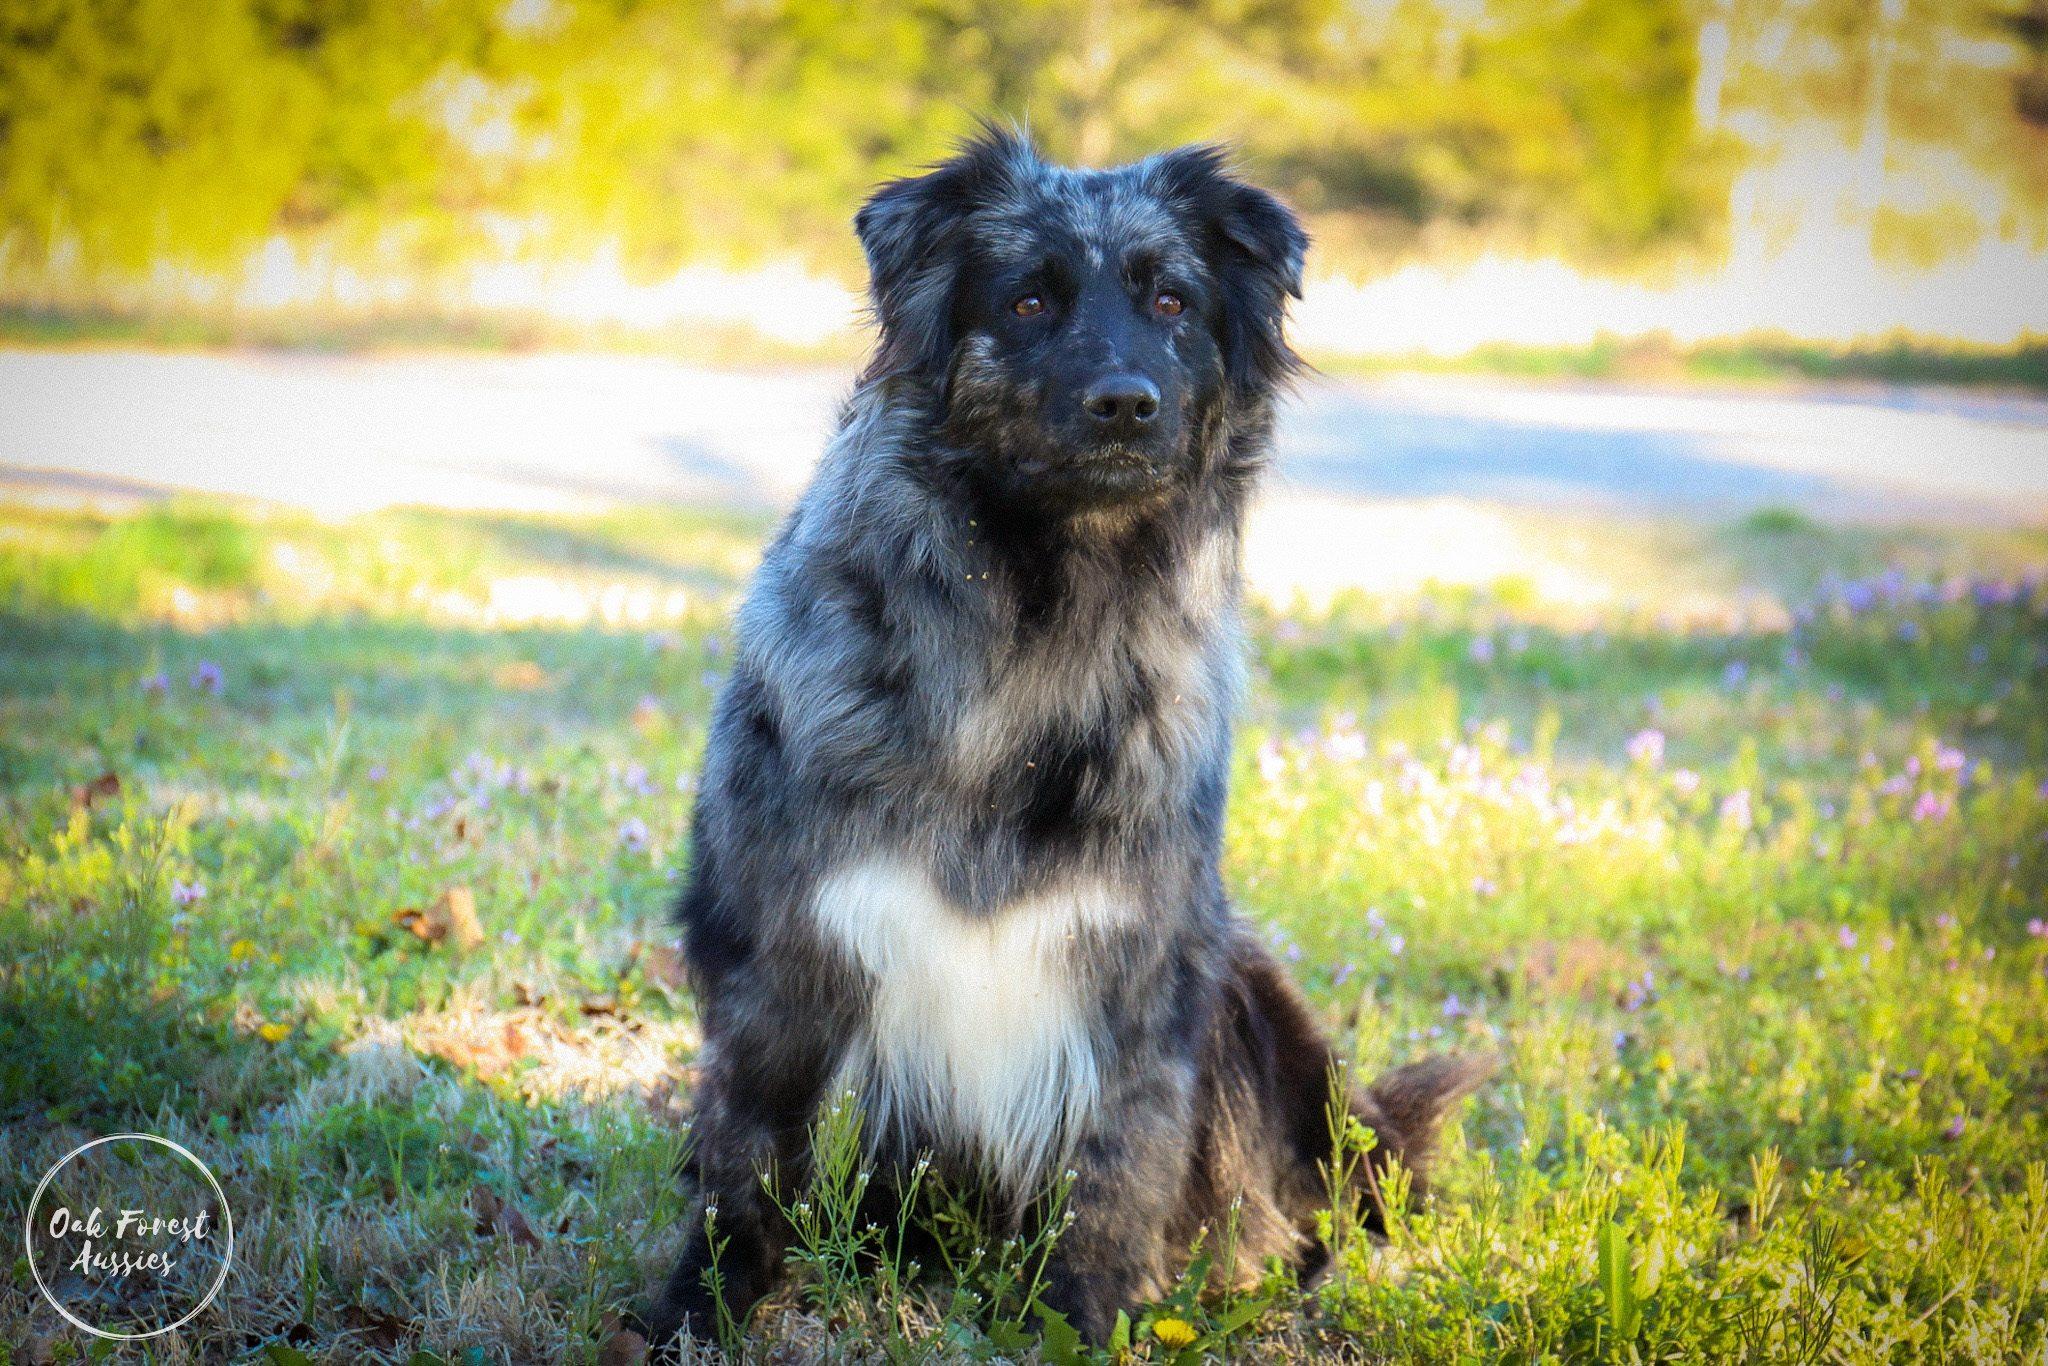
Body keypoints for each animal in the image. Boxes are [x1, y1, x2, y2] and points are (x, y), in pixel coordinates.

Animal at [637, 127, 1488, 1349]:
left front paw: (1093, 1326)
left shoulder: (1135, 981)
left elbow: (1114, 1181)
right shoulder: (780, 958)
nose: (1124, 403)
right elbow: (743, 1167)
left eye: (1172, 300)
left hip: (1268, 1011)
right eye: (1029, 299)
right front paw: (696, 1309)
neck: (1039, 632)